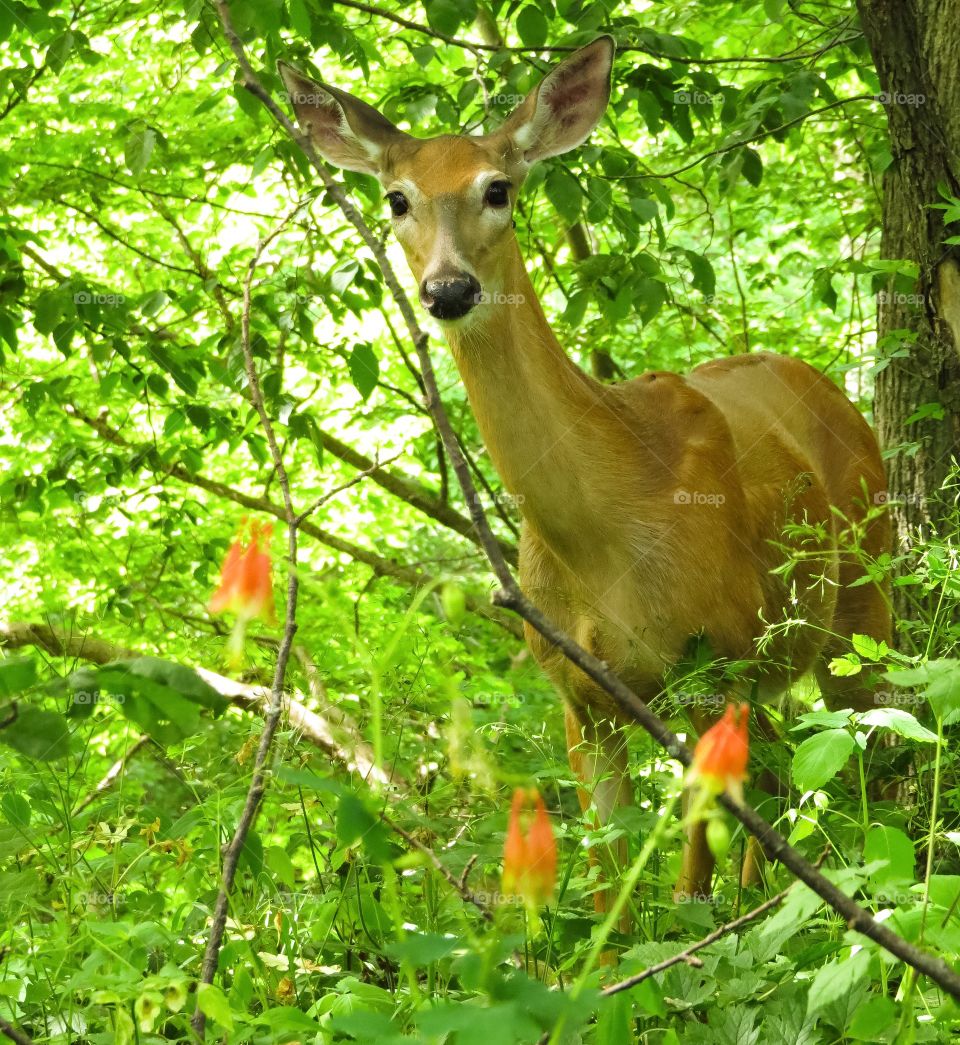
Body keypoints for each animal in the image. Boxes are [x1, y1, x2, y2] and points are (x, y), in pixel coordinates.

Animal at [279, 36, 894, 923]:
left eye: (497, 188)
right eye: (396, 198)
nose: (448, 288)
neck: (604, 530)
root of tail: (834, 390)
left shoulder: (710, 661)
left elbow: (687, 879)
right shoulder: (576, 693)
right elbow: (610, 886)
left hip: (864, 596)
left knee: (880, 740)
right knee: (784, 774)